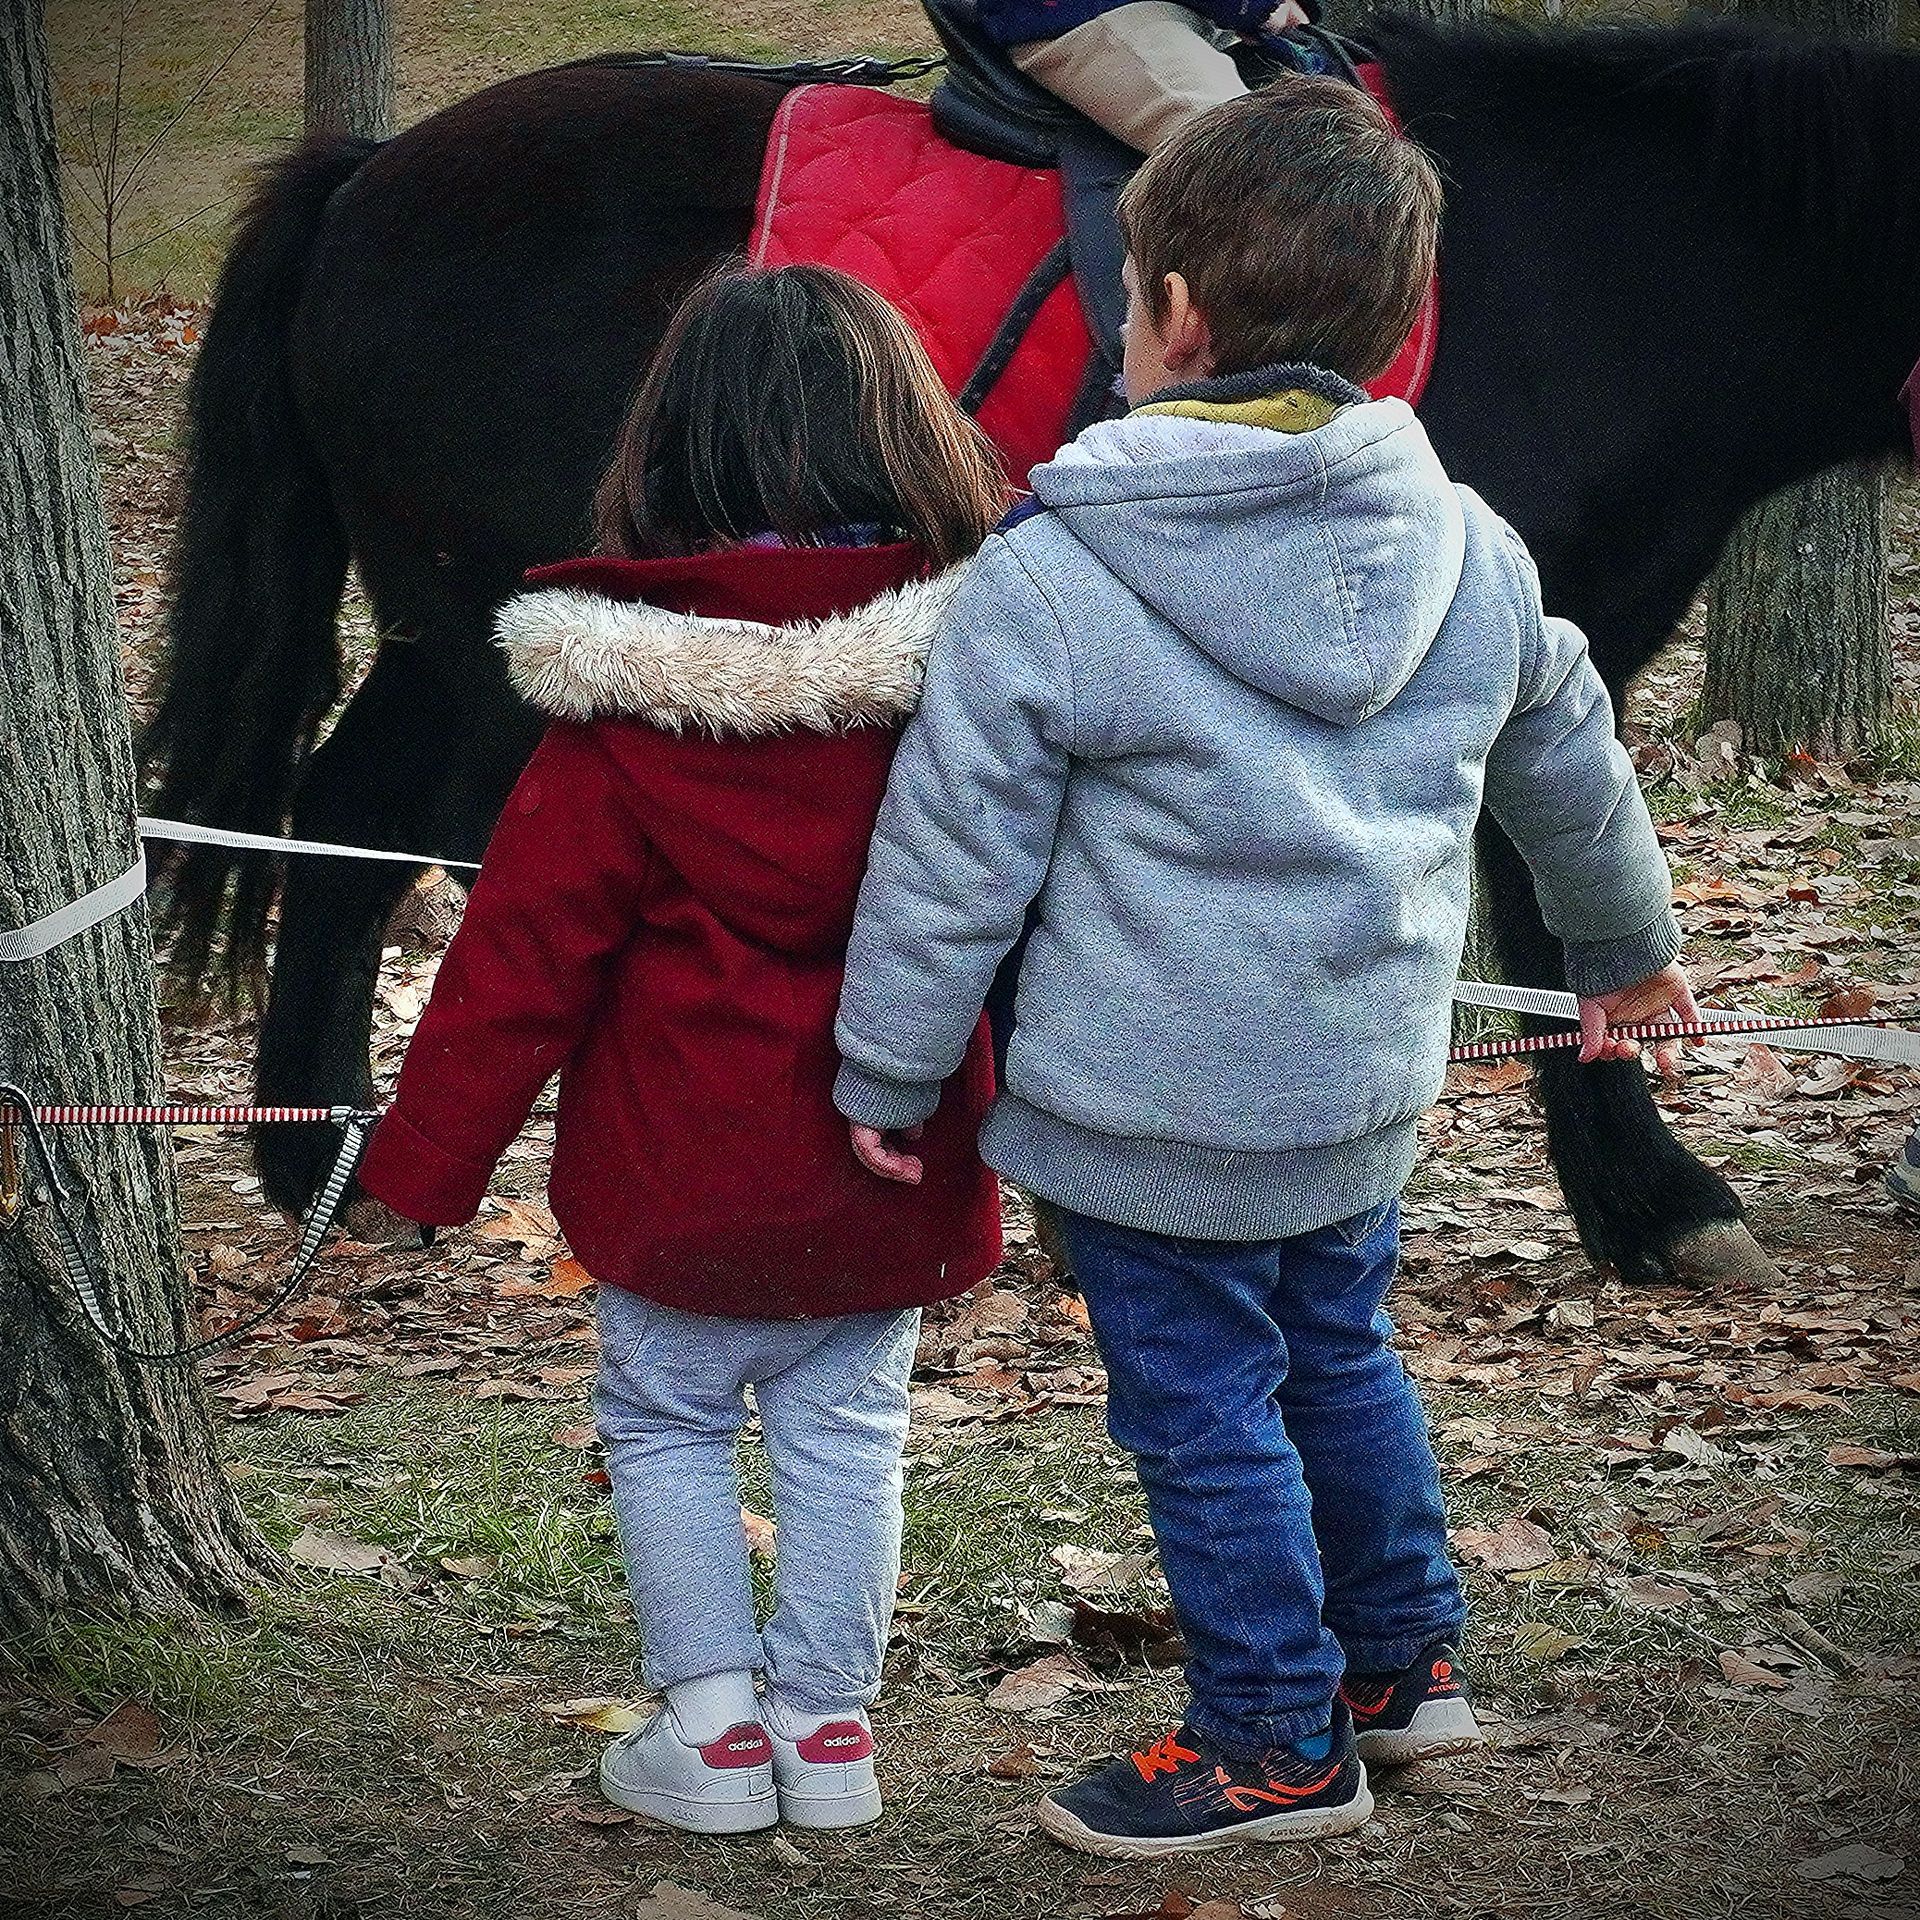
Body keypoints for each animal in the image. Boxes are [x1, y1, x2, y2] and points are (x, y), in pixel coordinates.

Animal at [139, 13, 1920, 1285]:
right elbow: (1540, 927)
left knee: (343, 819)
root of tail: (367, 176)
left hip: (457, 638)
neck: (1578, 260)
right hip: (505, 642)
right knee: (367, 829)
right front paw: (1655, 1197)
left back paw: (320, 1158)